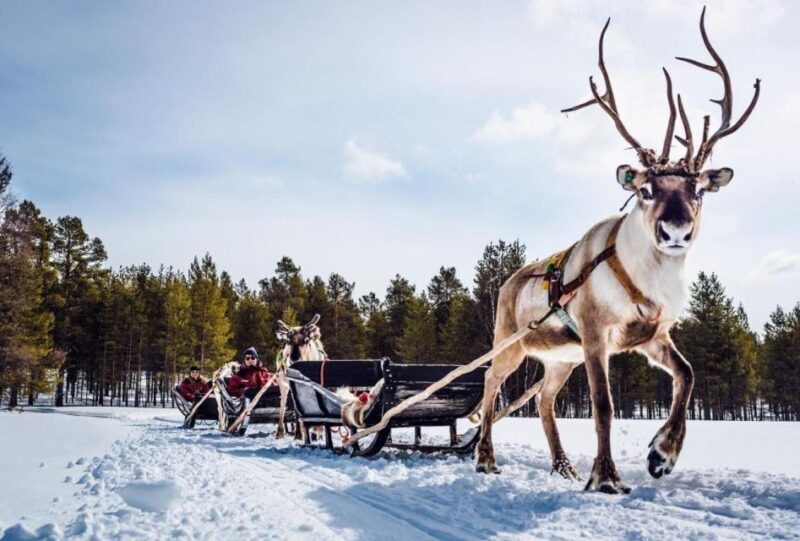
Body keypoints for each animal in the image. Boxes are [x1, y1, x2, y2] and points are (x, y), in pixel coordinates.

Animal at [475, 7, 760, 494]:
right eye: (645, 189)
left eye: (700, 190)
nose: (676, 229)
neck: (646, 280)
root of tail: (507, 281)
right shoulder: (594, 333)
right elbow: (603, 405)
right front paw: (606, 477)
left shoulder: (652, 335)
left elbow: (688, 374)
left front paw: (661, 455)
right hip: (511, 339)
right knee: (491, 382)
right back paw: (485, 457)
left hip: (560, 359)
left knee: (544, 398)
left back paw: (563, 466)